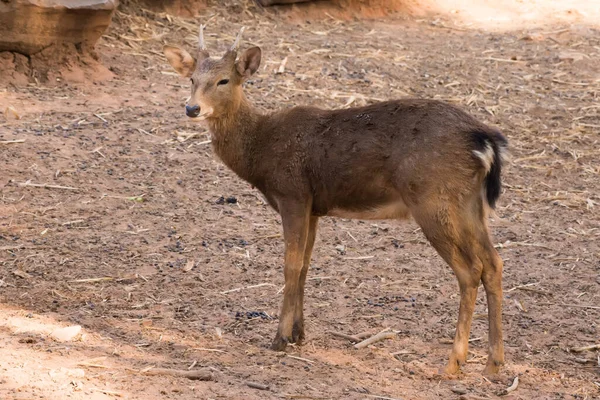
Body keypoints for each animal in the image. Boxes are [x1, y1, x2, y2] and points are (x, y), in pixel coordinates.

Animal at [163, 25, 506, 376]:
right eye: (192, 79)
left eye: (224, 80)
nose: (192, 108)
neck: (260, 153)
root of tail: (483, 140)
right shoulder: (314, 207)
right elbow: (305, 265)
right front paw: (299, 333)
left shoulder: (293, 194)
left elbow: (291, 265)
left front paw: (280, 338)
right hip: (469, 203)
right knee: (493, 262)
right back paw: (494, 361)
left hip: (431, 199)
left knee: (470, 269)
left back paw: (455, 361)